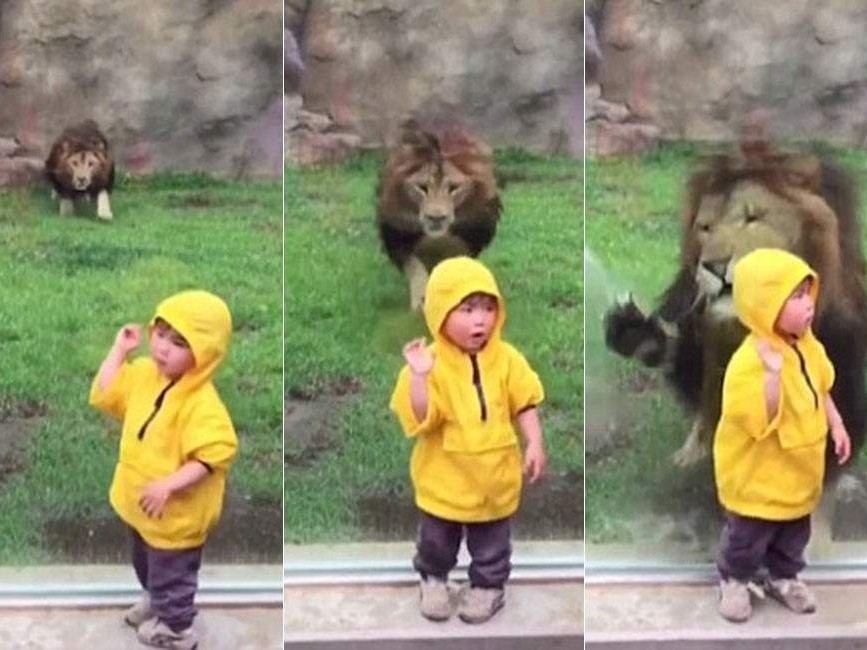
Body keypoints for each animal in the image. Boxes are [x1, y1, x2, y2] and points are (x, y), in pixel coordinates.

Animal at [376, 120, 502, 309]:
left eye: (453, 188)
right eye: (422, 187)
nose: (436, 217)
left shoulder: (471, 235)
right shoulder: (398, 235)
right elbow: (415, 268)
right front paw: (420, 301)